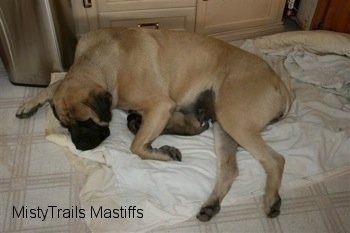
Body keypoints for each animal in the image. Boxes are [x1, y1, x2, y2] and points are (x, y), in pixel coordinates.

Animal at [15, 26, 290, 220]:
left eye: (86, 122)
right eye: (66, 125)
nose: (81, 146)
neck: (101, 61)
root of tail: (281, 83)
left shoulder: (160, 105)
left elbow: (136, 147)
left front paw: (163, 154)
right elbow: (54, 85)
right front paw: (30, 103)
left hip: (234, 119)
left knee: (276, 159)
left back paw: (271, 200)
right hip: (223, 125)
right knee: (228, 167)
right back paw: (211, 205)